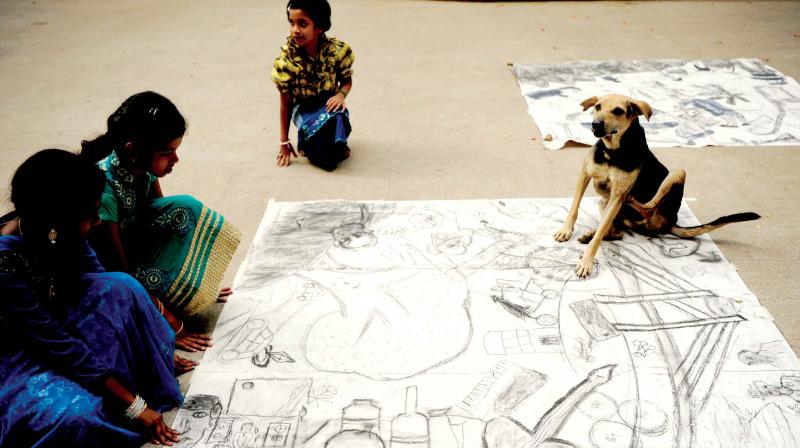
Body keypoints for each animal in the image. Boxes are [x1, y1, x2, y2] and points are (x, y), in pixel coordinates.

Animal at [552, 93, 760, 278]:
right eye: (597, 107)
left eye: (618, 111)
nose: (595, 124)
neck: (613, 151)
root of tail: (671, 222)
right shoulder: (585, 174)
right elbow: (574, 207)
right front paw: (566, 231)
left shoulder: (617, 194)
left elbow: (599, 234)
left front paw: (586, 262)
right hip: (608, 205)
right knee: (616, 231)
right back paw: (592, 232)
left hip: (676, 173)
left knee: (646, 208)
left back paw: (627, 202)